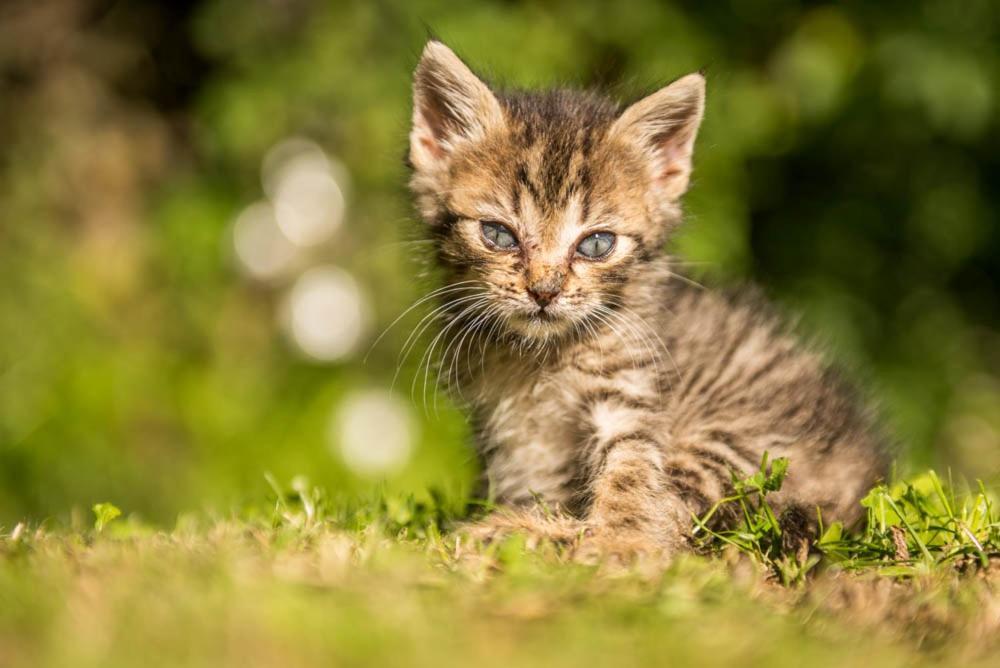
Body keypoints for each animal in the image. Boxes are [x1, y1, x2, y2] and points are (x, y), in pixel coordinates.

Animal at [406, 41, 892, 560]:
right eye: (498, 235)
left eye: (596, 244)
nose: (545, 291)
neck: (540, 358)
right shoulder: (514, 439)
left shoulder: (632, 391)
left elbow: (633, 472)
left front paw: (622, 538)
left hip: (739, 438)